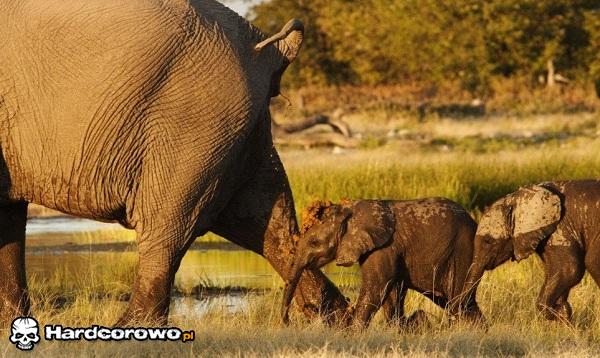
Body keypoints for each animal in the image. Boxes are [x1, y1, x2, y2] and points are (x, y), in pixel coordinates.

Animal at [0, 0, 346, 324]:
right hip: (239, 127)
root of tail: (263, 47)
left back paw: (127, 330)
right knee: (266, 225)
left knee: (168, 227)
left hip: (194, 122)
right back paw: (336, 318)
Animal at [282, 197, 482, 328]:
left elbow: (377, 287)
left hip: (463, 253)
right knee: (459, 303)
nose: (286, 322)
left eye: (314, 243)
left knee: (458, 301)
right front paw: (399, 329)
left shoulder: (384, 247)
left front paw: (352, 334)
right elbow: (392, 292)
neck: (350, 211)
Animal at [462, 180, 600, 324]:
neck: (517, 197)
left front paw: (560, 313)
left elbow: (570, 270)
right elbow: (555, 271)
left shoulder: (562, 227)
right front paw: (563, 312)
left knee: (591, 261)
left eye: (487, 241)